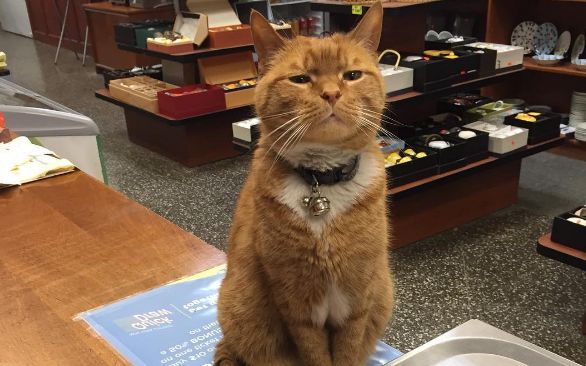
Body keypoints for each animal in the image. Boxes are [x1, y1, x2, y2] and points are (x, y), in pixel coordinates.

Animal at [214, 2, 392, 366]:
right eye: (300, 79)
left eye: (352, 75)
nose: (331, 93)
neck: (321, 184)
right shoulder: (297, 305)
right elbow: (314, 354)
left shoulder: (359, 298)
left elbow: (349, 351)